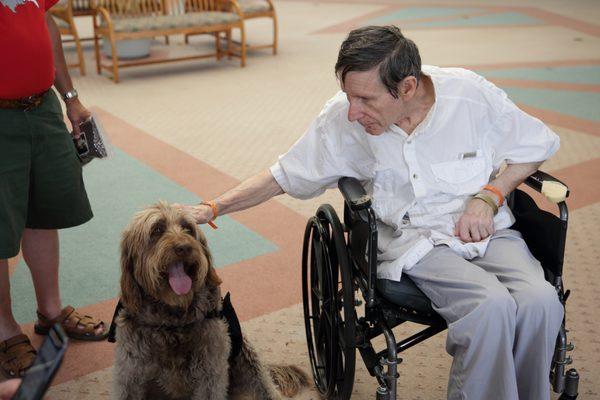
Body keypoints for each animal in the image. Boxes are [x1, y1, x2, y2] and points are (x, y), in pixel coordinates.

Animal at [113, 203, 310, 400]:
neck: (173, 322)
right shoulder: (130, 377)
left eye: (188, 228)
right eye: (157, 229)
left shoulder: (210, 375)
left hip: (246, 358)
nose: (185, 247)